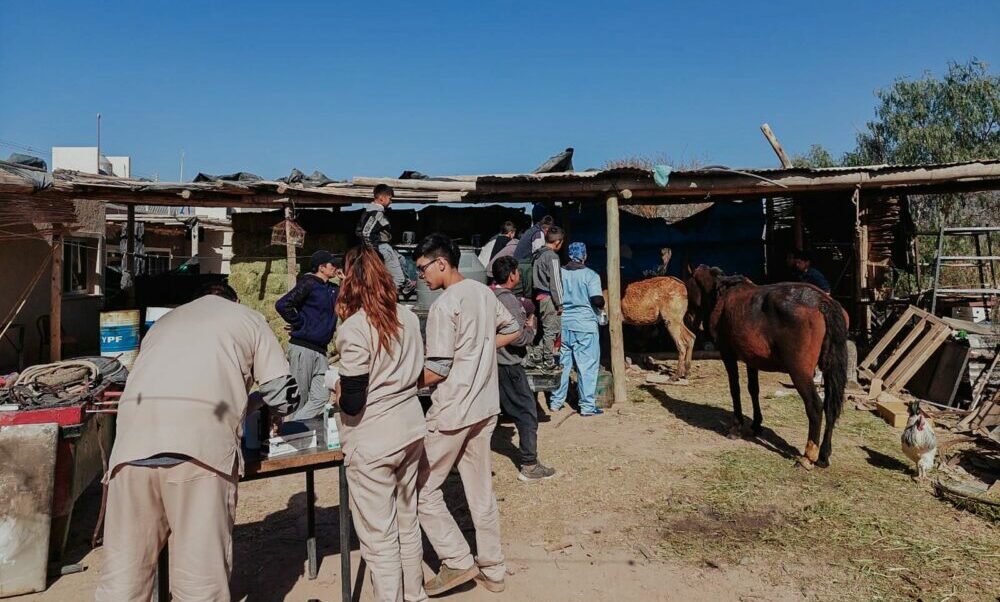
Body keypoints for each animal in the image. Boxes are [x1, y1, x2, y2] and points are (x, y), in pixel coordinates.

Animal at [692, 264, 848, 466]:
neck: (723, 292)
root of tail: (822, 302)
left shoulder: (728, 355)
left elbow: (735, 389)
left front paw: (737, 426)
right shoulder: (751, 359)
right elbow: (753, 389)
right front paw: (756, 424)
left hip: (799, 373)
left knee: (815, 406)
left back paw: (808, 457)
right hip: (829, 370)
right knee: (830, 407)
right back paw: (823, 455)